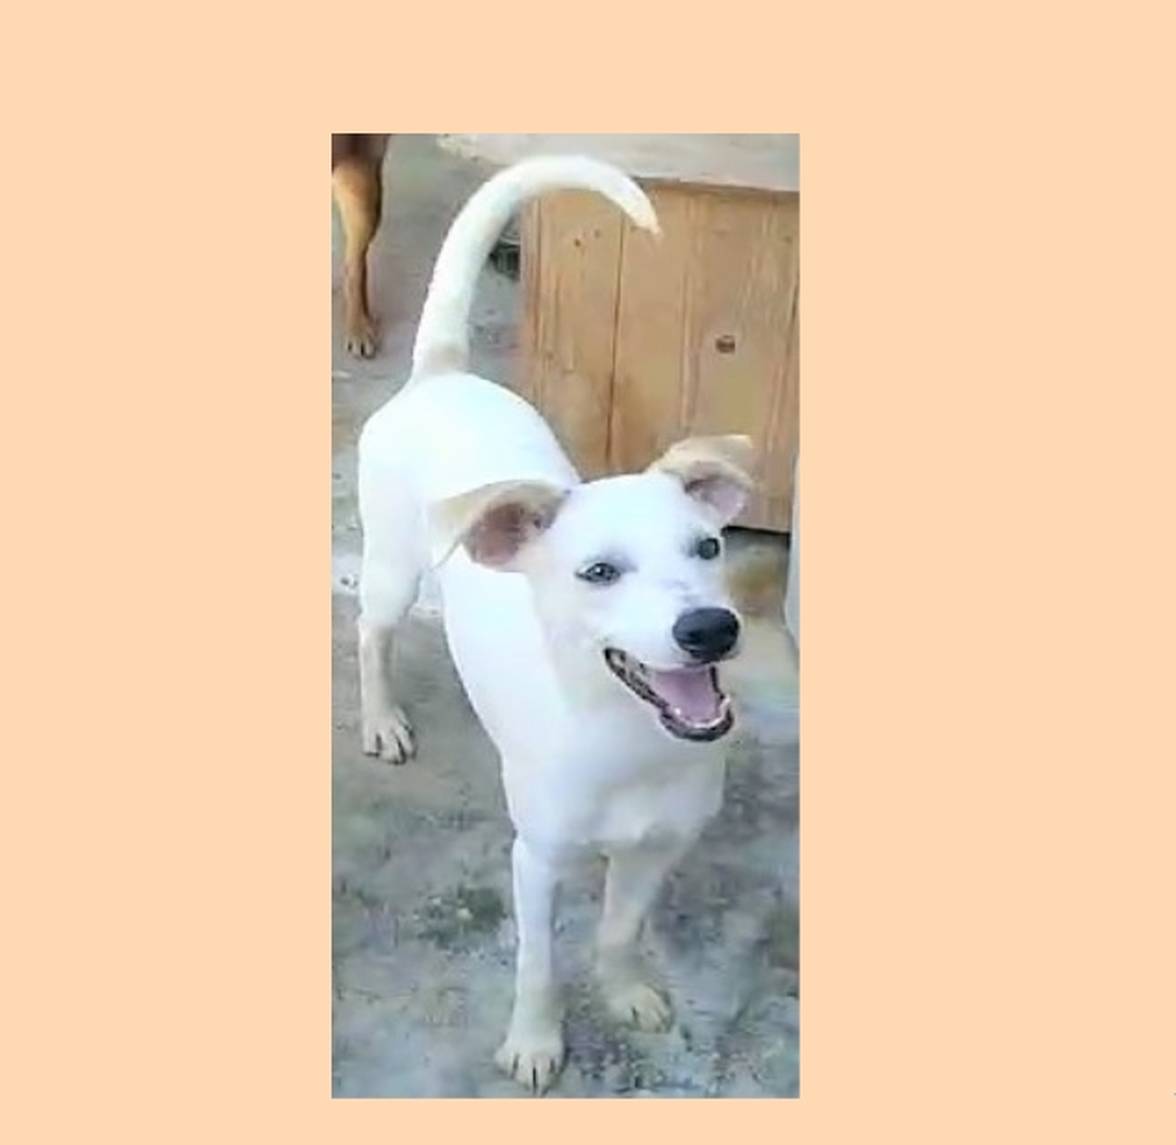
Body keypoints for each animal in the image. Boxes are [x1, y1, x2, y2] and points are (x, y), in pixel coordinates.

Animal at [356, 157, 755, 1094]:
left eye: (709, 545)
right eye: (598, 573)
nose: (711, 629)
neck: (628, 739)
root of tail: (440, 374)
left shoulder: (657, 849)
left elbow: (618, 930)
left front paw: (627, 991)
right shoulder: (534, 861)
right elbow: (537, 964)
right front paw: (535, 1042)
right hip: (388, 573)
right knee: (370, 637)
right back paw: (380, 718)